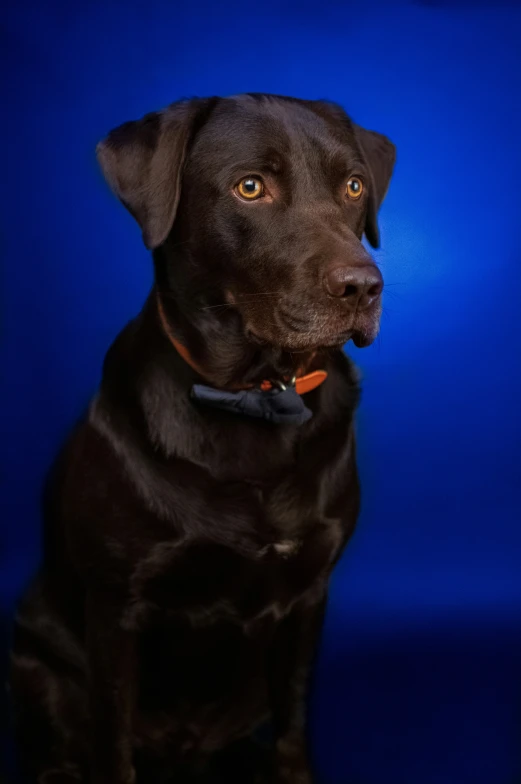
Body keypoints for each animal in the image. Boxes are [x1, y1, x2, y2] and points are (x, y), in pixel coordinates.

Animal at [10, 90, 394, 776]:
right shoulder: (116, 610)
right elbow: (113, 750)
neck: (259, 397)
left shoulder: (308, 600)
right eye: (251, 187)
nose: (363, 287)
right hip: (33, 662)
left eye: (353, 185)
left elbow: (293, 730)